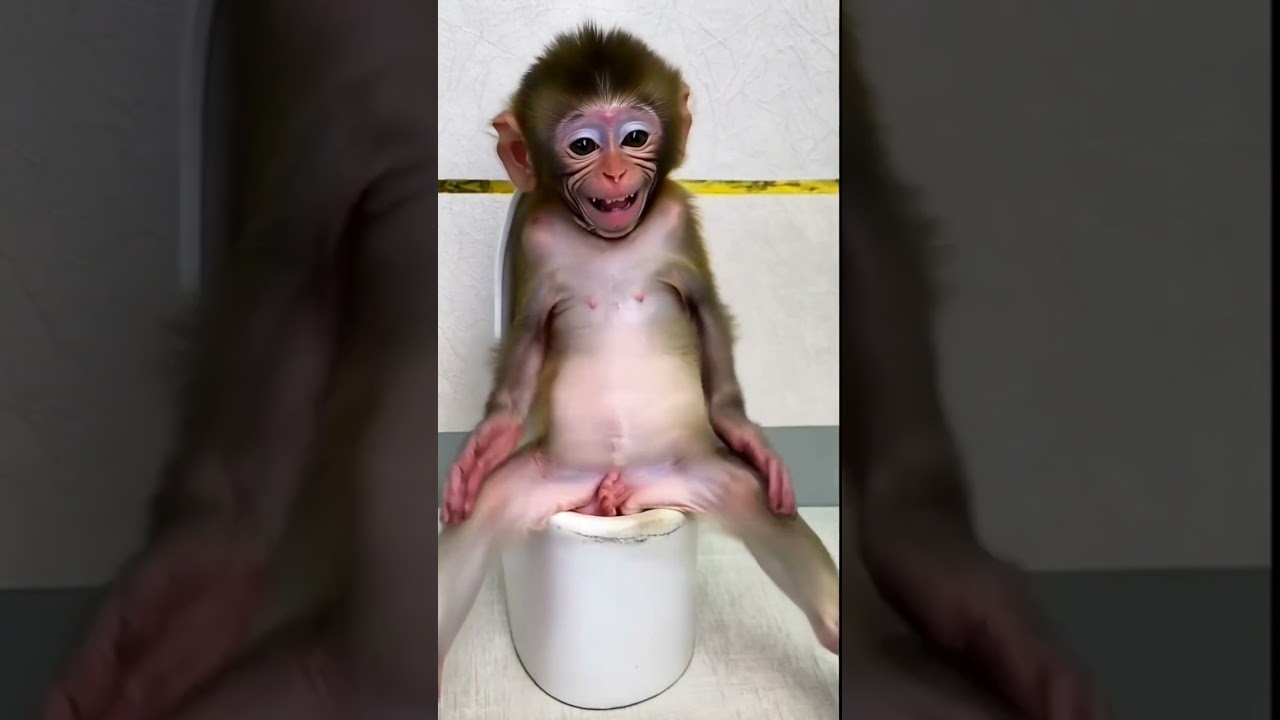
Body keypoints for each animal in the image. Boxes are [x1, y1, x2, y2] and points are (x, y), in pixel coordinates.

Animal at [434, 23, 835, 697]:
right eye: (585, 145)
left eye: (635, 138)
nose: (618, 172)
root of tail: (623, 495)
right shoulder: (535, 235)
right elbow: (527, 335)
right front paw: (487, 438)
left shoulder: (674, 217)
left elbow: (705, 310)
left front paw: (745, 430)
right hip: (554, 482)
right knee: (483, 513)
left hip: (690, 474)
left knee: (754, 498)